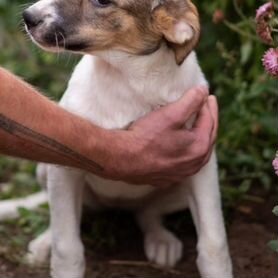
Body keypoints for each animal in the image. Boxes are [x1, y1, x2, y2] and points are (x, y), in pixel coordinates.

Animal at [0, 0, 232, 278]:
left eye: (102, 2)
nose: (28, 16)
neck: (127, 78)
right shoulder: (65, 170)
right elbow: (66, 245)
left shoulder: (201, 163)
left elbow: (214, 242)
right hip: (46, 170)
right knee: (63, 218)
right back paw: (44, 242)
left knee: (148, 213)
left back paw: (161, 241)